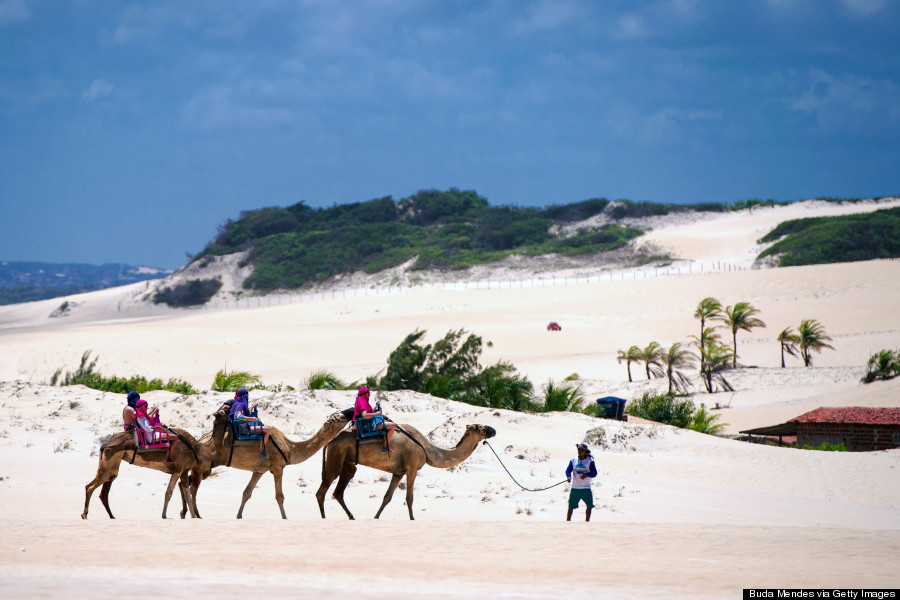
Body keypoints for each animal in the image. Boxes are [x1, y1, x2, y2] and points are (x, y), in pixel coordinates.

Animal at [81, 404, 230, 520]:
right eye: (227, 408)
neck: (198, 447)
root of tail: (105, 444)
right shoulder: (179, 469)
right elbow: (171, 492)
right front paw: (166, 515)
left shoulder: (184, 470)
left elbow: (185, 493)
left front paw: (190, 516)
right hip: (110, 461)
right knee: (90, 486)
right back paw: (85, 515)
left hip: (111, 464)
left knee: (103, 490)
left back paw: (111, 516)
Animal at [190, 410, 352, 516]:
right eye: (340, 418)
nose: (349, 415)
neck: (290, 447)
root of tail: (201, 440)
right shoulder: (278, 467)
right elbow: (280, 497)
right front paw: (285, 518)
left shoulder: (259, 470)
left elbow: (246, 493)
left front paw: (239, 516)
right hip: (204, 465)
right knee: (192, 487)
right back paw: (196, 515)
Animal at [316, 422, 500, 520]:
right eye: (480, 427)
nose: (493, 430)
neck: (428, 449)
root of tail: (331, 441)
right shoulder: (412, 468)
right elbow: (409, 498)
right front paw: (412, 519)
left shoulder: (398, 472)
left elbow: (387, 497)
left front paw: (376, 517)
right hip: (336, 455)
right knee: (323, 489)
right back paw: (325, 518)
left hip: (347, 463)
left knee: (338, 490)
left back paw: (351, 516)